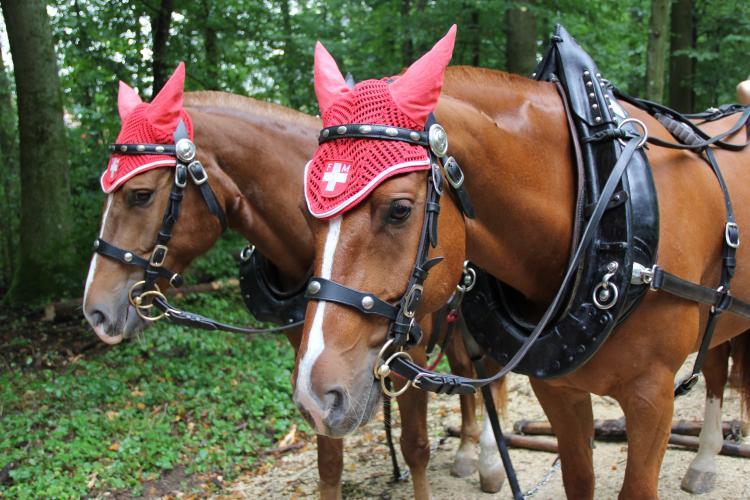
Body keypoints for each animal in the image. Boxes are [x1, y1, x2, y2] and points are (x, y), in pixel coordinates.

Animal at [81, 63, 507, 499]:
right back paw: (467, 447)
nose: (95, 311)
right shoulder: (313, 369)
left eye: (141, 195)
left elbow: (415, 447)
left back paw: (488, 459)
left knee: (490, 374)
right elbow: (329, 463)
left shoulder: (409, 353)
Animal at [292, 26, 750, 498]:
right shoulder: (557, 391)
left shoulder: (652, 398)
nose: (314, 398)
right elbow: (578, 480)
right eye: (306, 210)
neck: (595, 195)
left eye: (399, 210)